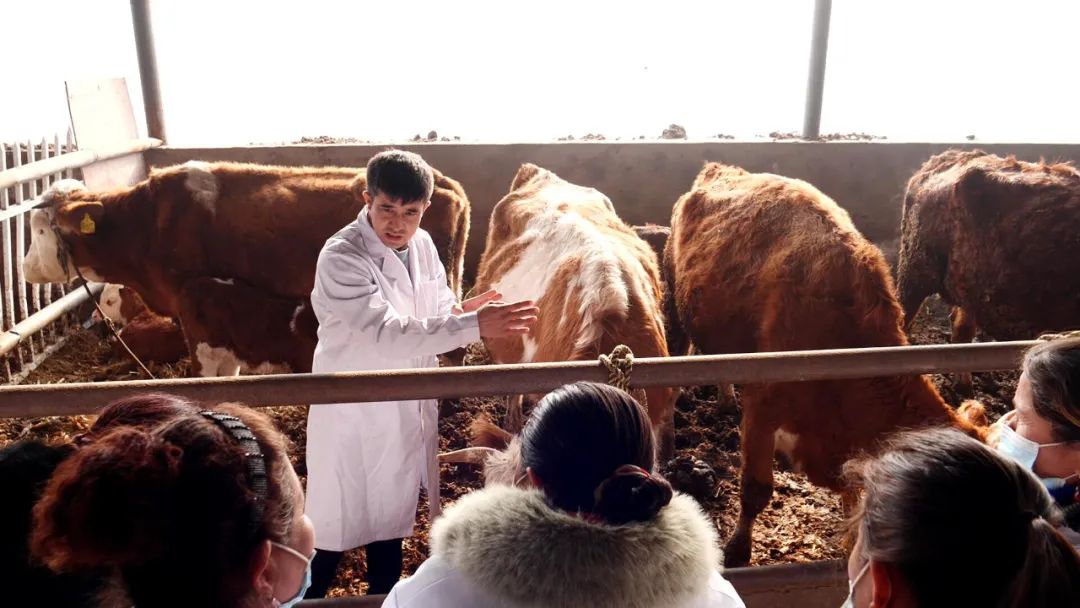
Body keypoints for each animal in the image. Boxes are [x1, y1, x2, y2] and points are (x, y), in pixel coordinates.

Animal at [897, 149, 1080, 394]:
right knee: (902, 319)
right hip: (915, 271)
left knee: (961, 330)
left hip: (968, 288)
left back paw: (964, 387)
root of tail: (951, 156)